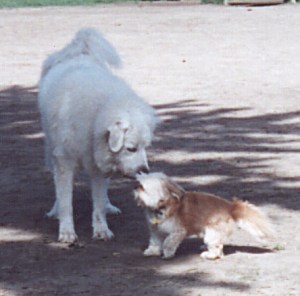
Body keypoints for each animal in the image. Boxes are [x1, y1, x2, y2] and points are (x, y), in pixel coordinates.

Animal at [38, 27, 158, 243]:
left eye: (146, 147)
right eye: (131, 148)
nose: (144, 170)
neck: (96, 115)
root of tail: (79, 52)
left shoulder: (99, 166)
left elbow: (99, 204)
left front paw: (101, 230)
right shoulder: (64, 162)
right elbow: (66, 200)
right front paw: (67, 232)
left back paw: (110, 206)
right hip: (51, 150)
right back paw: (55, 210)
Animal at [135, 172, 274, 260]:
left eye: (143, 187)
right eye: (138, 183)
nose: (135, 186)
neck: (161, 206)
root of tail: (229, 206)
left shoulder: (177, 232)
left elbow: (168, 243)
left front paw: (167, 253)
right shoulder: (155, 230)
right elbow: (155, 242)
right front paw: (152, 251)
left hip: (212, 233)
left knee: (217, 250)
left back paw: (208, 255)